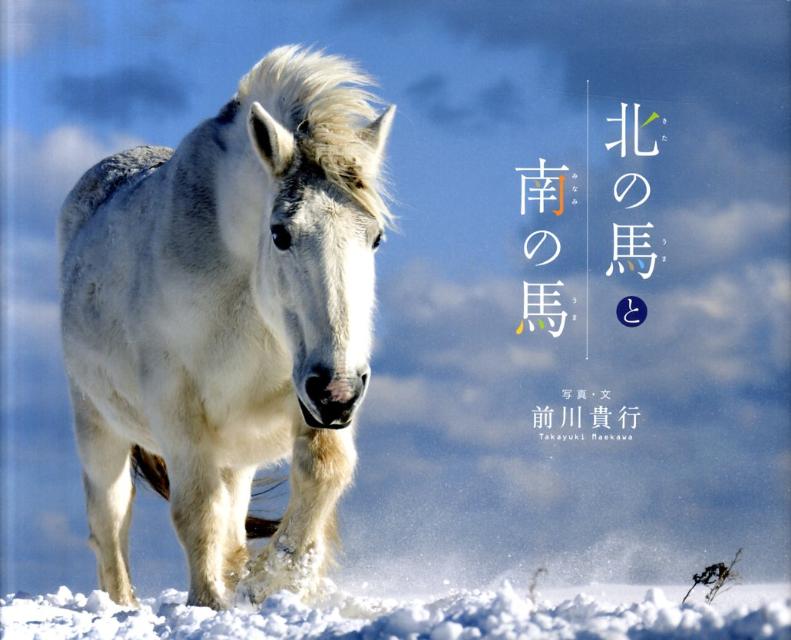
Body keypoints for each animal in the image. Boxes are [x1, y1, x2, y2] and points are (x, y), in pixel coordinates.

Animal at [58, 45, 396, 609]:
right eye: (280, 233)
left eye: (375, 238)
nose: (338, 392)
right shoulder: (178, 408)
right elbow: (195, 510)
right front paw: (212, 602)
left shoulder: (306, 390)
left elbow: (323, 469)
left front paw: (275, 581)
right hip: (97, 423)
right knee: (111, 519)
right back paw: (124, 606)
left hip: (238, 447)